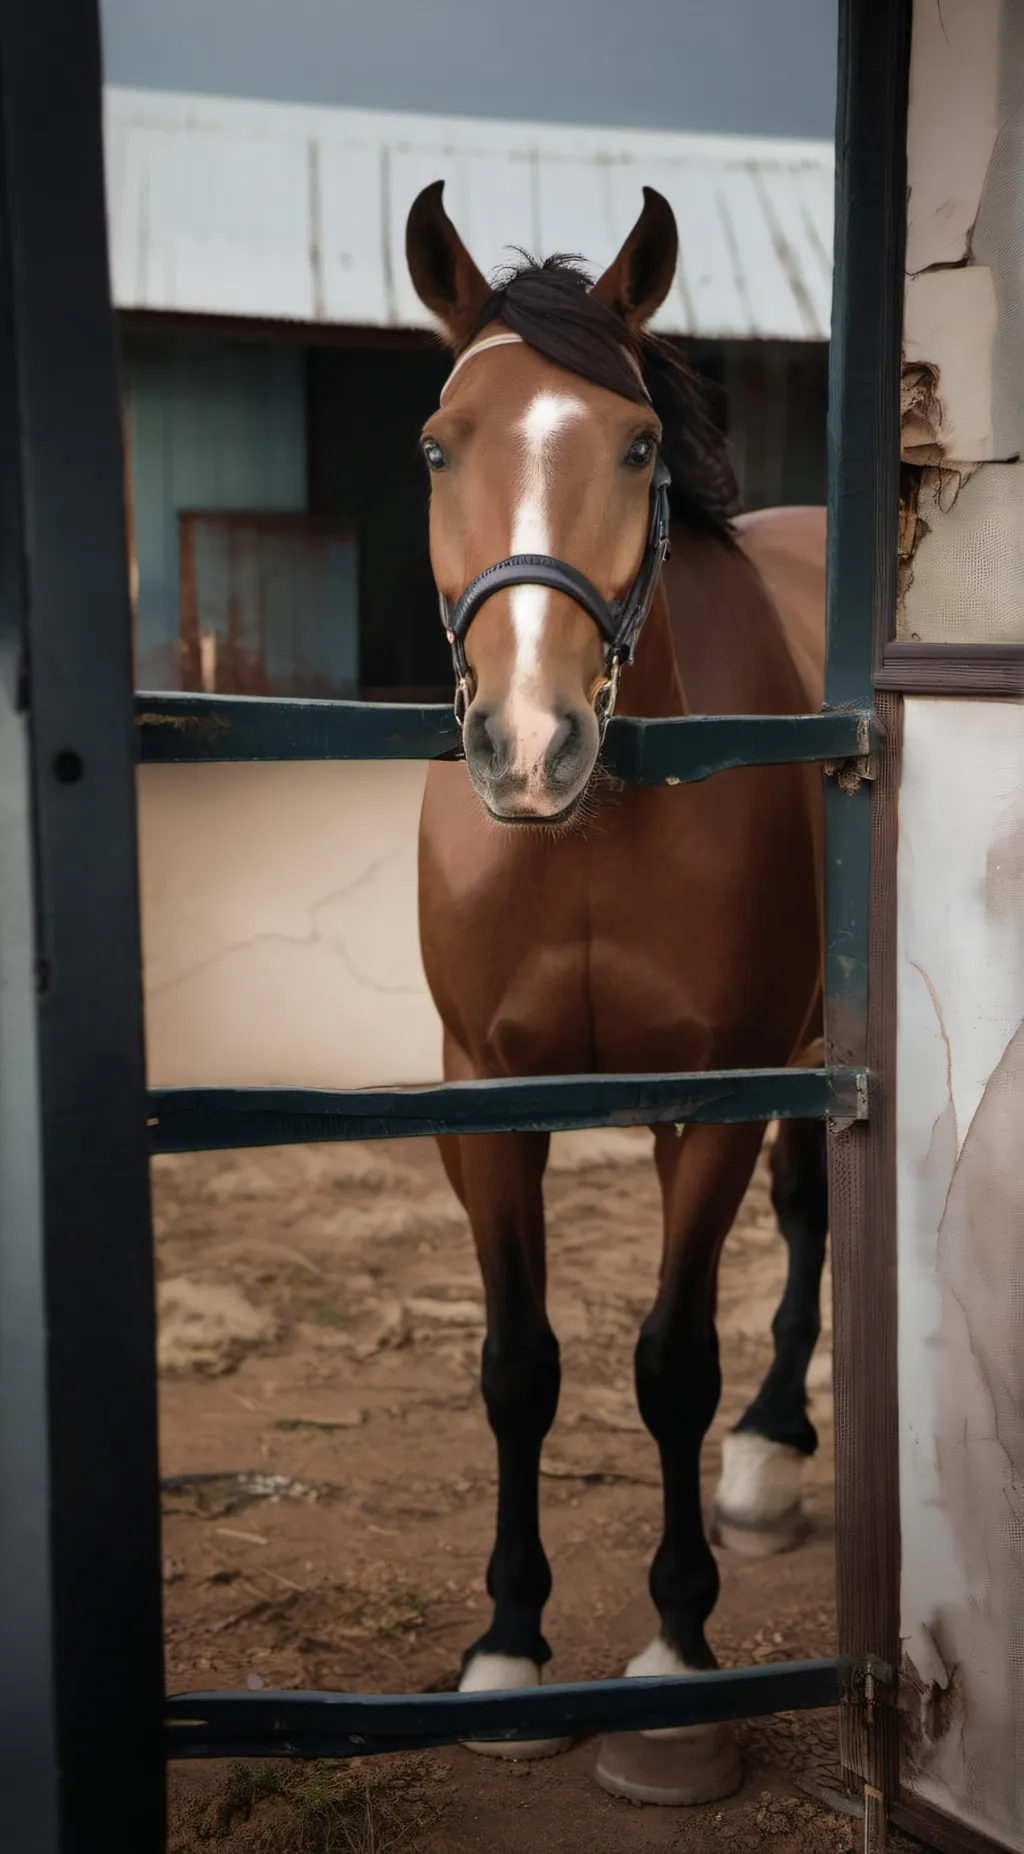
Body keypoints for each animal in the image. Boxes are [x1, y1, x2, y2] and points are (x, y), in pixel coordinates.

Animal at [405, 180, 828, 1806]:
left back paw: (771, 1450)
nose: (530, 745)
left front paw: (674, 1666)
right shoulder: (486, 1099)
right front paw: (510, 1653)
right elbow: (519, 1367)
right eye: (439, 445)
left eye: (637, 443)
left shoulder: (709, 1098)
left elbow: (668, 1366)